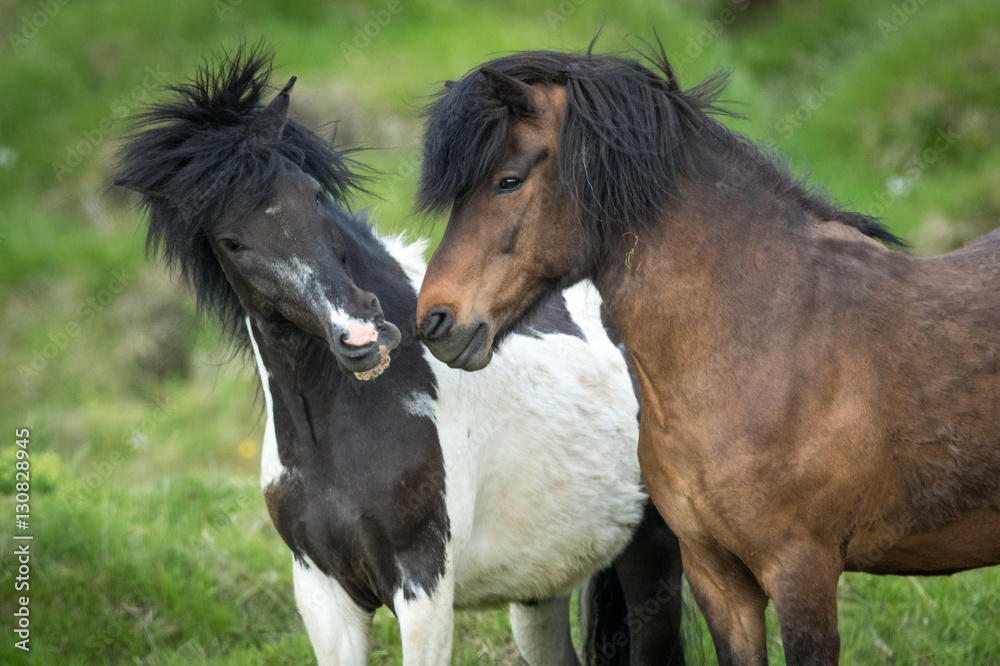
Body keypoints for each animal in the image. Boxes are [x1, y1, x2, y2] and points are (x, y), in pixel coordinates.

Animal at [113, 46, 688, 666]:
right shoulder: (324, 594)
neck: (335, 433)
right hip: (539, 594)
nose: (360, 336)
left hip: (656, 558)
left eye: (313, 194)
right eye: (232, 242)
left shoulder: (423, 589)